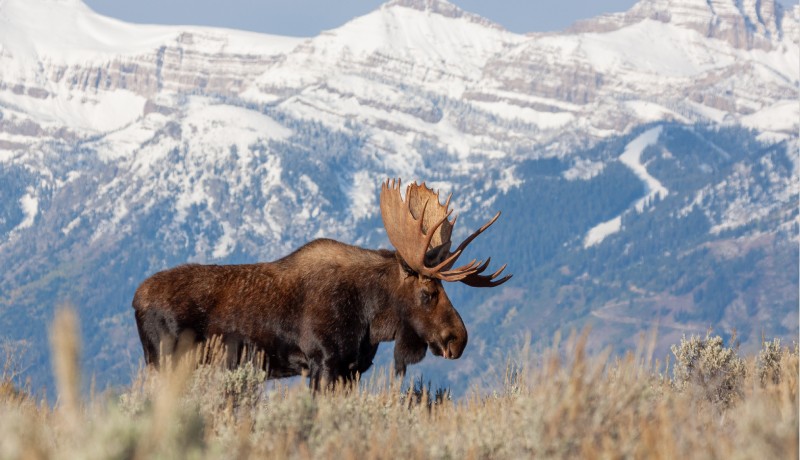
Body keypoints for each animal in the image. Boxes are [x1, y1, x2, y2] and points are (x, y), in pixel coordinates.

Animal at [134, 178, 510, 386]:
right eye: (428, 292)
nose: (458, 338)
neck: (371, 318)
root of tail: (135, 299)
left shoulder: (353, 369)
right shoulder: (324, 362)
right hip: (165, 362)